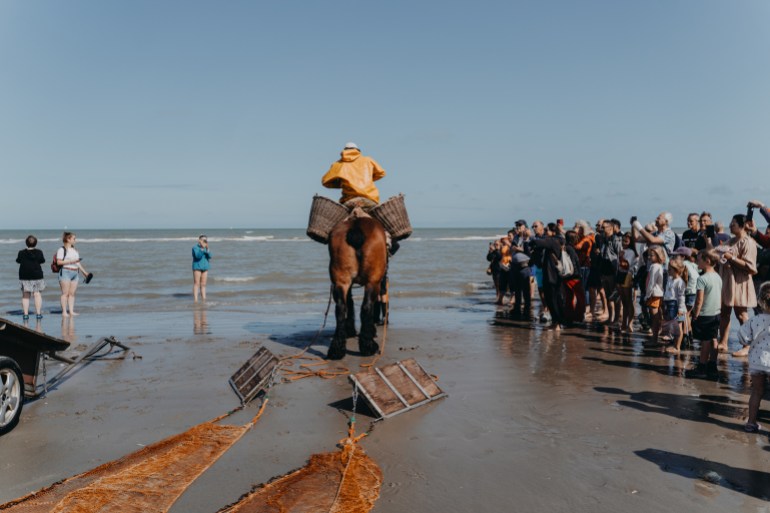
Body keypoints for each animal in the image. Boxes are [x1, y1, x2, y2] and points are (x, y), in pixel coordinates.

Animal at [324, 210, 388, 358]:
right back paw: (368, 346)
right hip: (372, 281)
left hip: (340, 280)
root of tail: (356, 227)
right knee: (366, 307)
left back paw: (337, 349)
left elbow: (350, 303)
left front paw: (350, 330)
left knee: (341, 308)